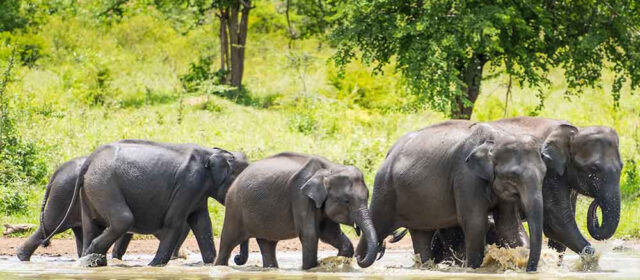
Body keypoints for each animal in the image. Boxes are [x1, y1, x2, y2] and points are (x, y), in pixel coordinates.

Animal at [15, 156, 188, 262]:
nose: (182, 256)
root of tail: (58, 171)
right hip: (62, 195)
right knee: (51, 225)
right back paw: (22, 258)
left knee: (78, 231)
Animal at [42, 140, 248, 266]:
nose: (237, 258)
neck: (212, 152)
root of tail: (89, 161)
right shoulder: (188, 185)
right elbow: (175, 223)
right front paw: (153, 266)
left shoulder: (197, 193)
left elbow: (202, 224)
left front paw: (211, 264)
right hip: (103, 184)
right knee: (122, 220)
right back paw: (92, 255)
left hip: (90, 190)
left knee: (92, 225)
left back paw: (91, 261)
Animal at [212, 153, 378, 270]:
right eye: (346, 201)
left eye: (368, 196)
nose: (359, 258)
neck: (330, 169)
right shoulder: (300, 196)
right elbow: (310, 235)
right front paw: (309, 269)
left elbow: (329, 233)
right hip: (234, 207)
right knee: (227, 242)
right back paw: (219, 266)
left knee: (267, 244)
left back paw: (271, 268)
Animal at [356, 120, 564, 272]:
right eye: (513, 176)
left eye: (544, 174)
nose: (529, 269)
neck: (497, 138)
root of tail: (389, 153)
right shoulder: (466, 177)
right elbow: (475, 223)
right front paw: (473, 269)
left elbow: (509, 226)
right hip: (385, 189)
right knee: (379, 225)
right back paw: (360, 258)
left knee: (421, 234)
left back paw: (424, 266)